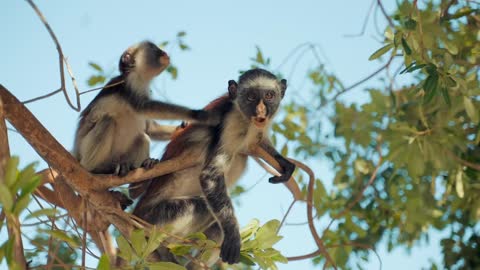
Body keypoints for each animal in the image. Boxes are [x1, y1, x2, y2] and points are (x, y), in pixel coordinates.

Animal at [73, 40, 219, 179]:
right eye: (153, 47)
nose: (164, 52)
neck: (137, 76)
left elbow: (150, 128)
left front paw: (184, 125)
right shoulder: (130, 85)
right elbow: (144, 107)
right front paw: (198, 115)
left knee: (142, 137)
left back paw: (140, 165)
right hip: (85, 151)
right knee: (107, 120)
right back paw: (96, 169)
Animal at [132, 68, 296, 266]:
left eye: (269, 95)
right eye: (250, 97)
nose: (261, 111)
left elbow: (259, 142)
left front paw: (284, 163)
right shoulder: (232, 122)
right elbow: (210, 175)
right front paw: (233, 235)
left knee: (217, 228)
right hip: (154, 219)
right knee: (202, 206)